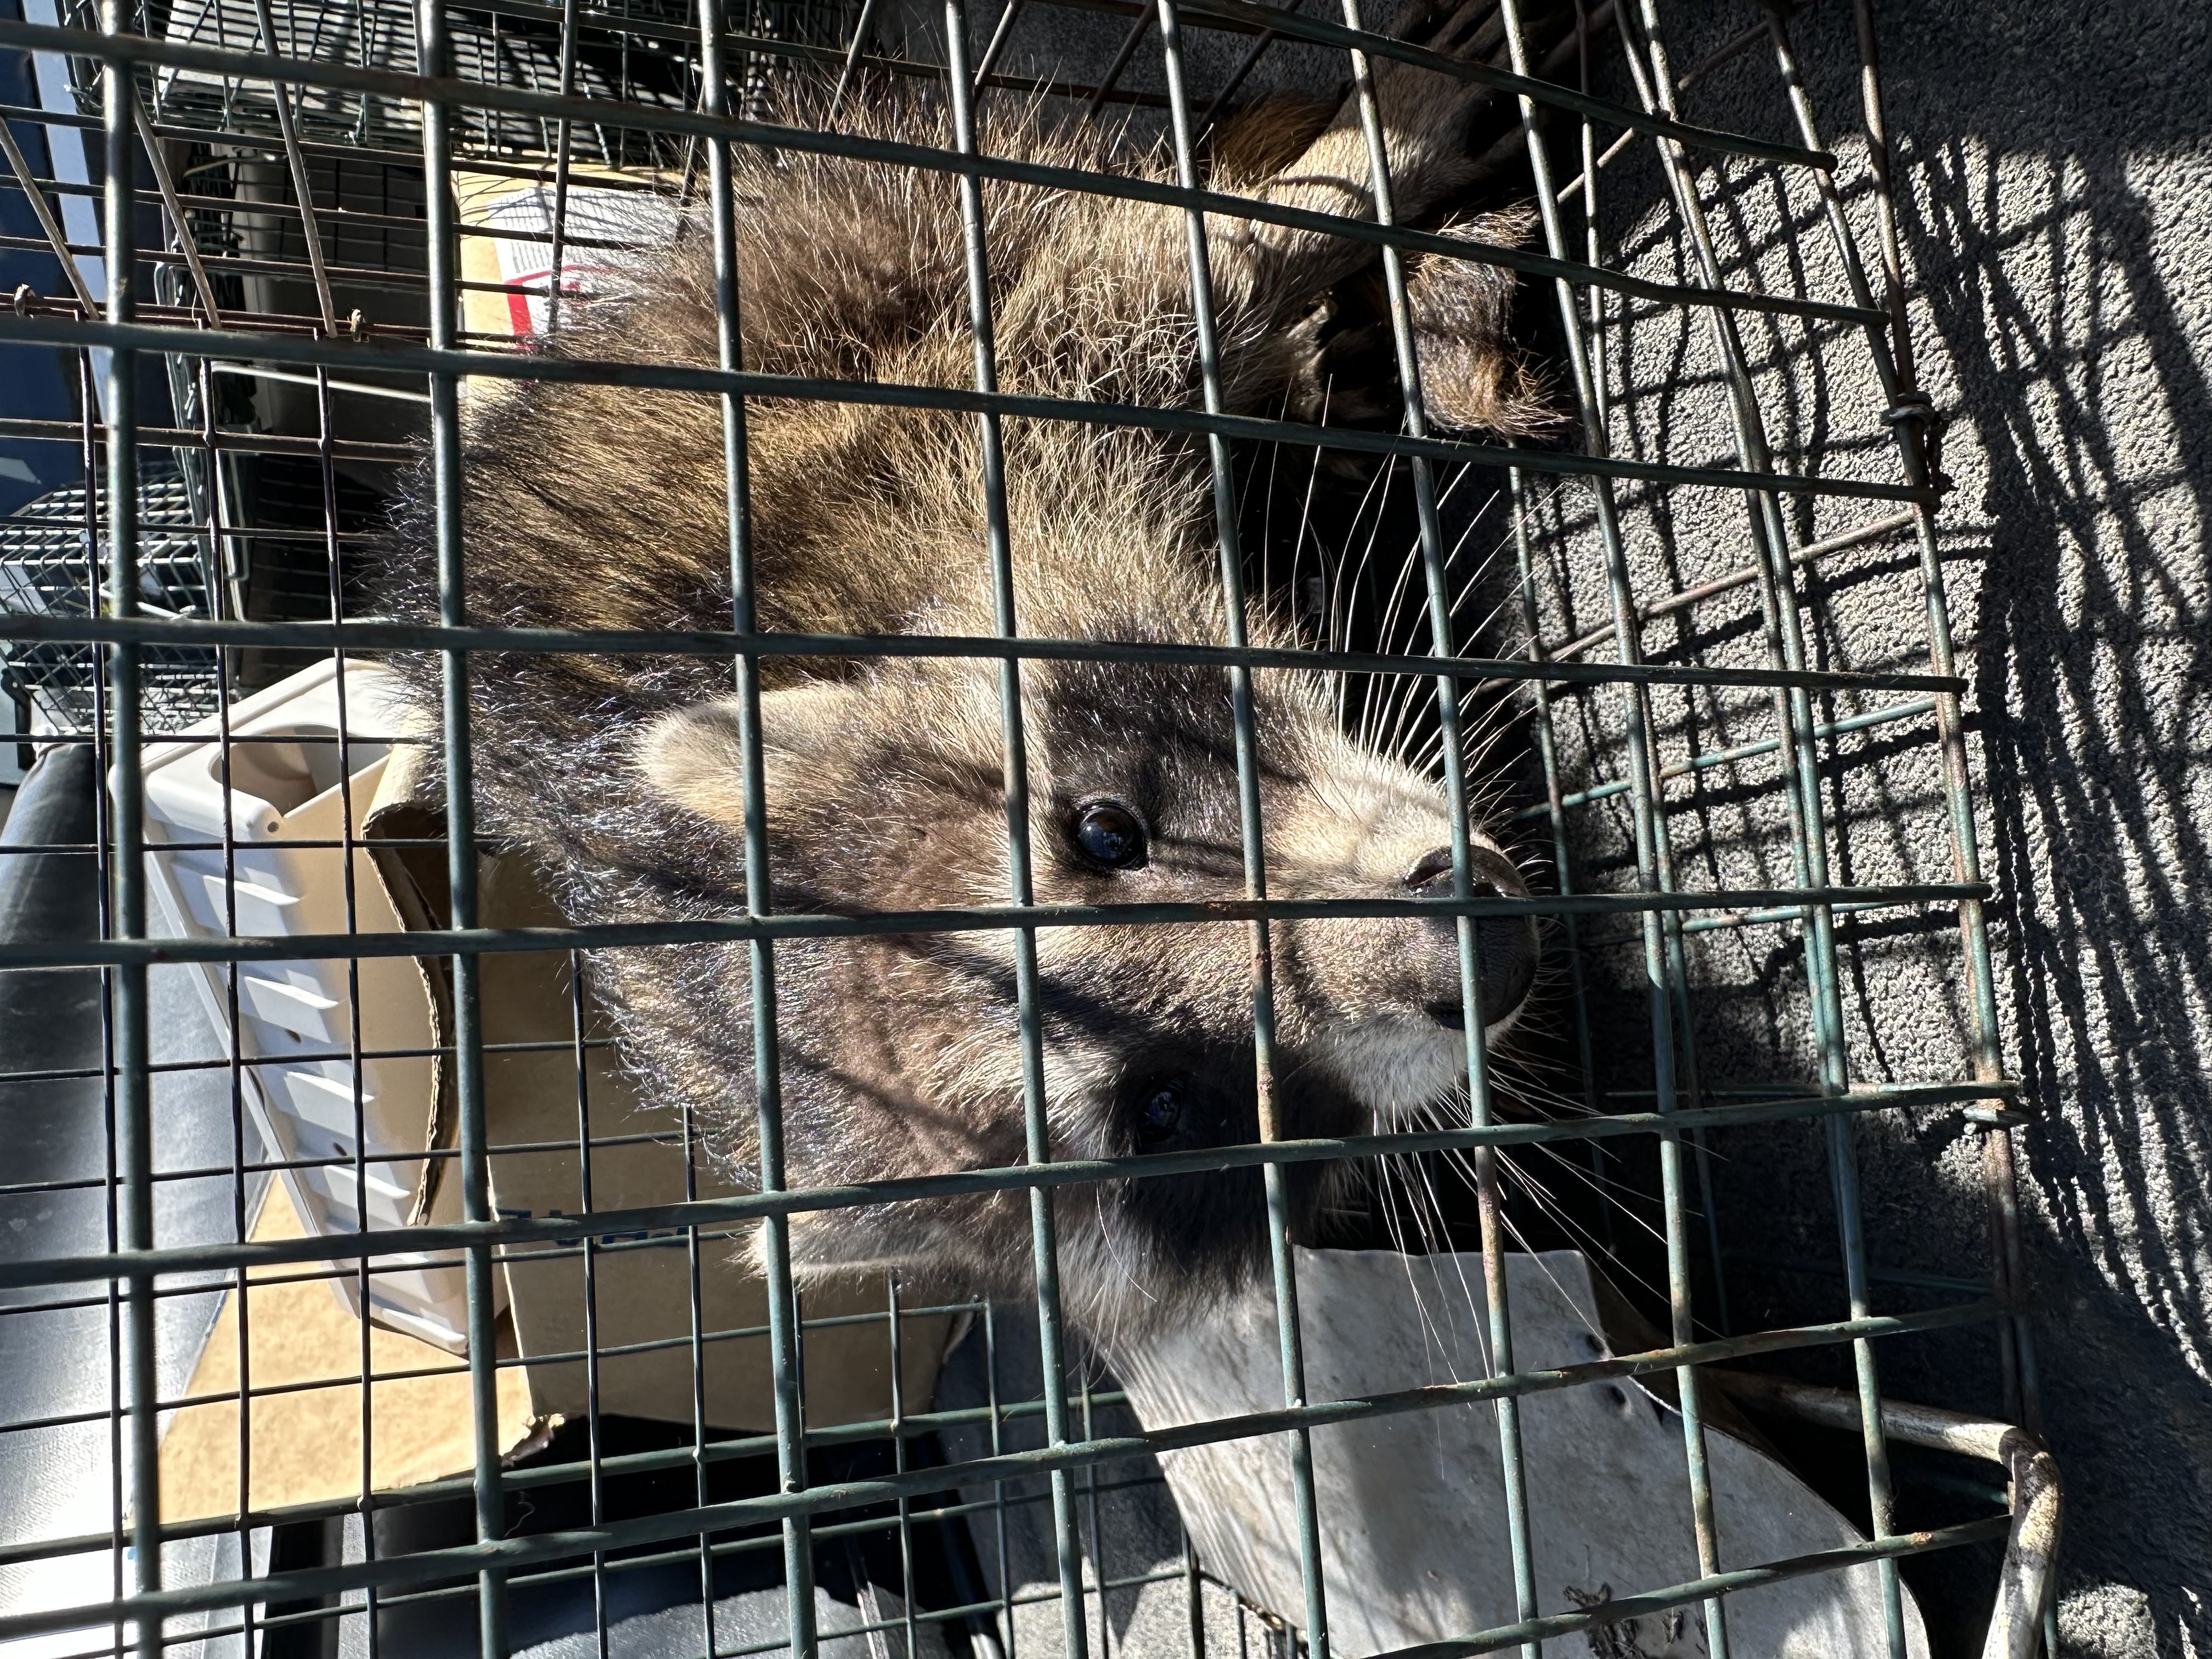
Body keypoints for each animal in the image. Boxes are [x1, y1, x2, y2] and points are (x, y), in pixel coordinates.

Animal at [385, 0, 1554, 1338]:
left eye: (1104, 831)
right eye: (1167, 1108)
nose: (1479, 952)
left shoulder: (924, 430)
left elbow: (1194, 265)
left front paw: (1382, 143)